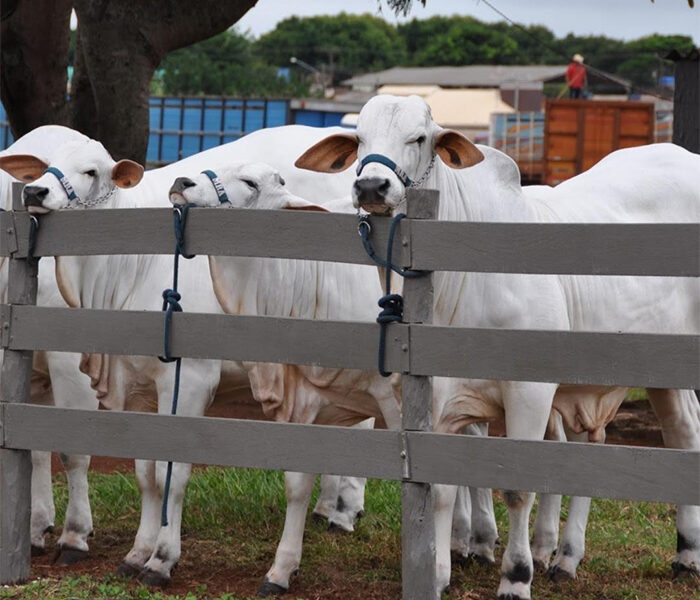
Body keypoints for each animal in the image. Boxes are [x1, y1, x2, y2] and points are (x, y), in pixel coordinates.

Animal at [296, 94, 700, 600]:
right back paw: (587, 556)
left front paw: (516, 577)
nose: (371, 185)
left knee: (684, 435)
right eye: (359, 139)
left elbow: (517, 488)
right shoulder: (441, 400)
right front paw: (439, 573)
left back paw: (682, 554)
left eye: (419, 138)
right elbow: (445, 487)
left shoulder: (529, 393)